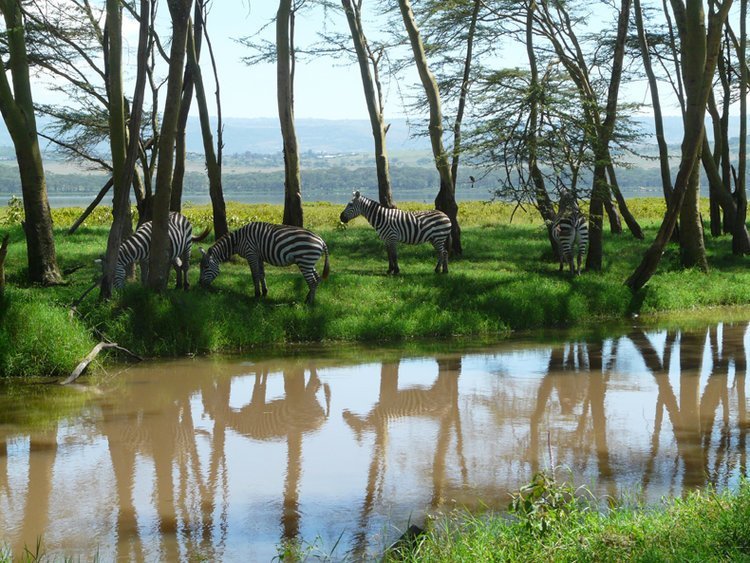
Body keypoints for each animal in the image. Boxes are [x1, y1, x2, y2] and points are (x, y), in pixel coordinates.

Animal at [198, 223, 330, 306]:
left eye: (206, 267)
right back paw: (308, 299)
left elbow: (255, 275)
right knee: (317, 279)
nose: (199, 285)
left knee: (312, 281)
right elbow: (262, 274)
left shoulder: (251, 254)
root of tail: (322, 241)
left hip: (305, 262)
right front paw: (265, 292)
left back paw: (309, 304)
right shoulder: (259, 256)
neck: (237, 241)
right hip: (309, 263)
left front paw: (256, 295)